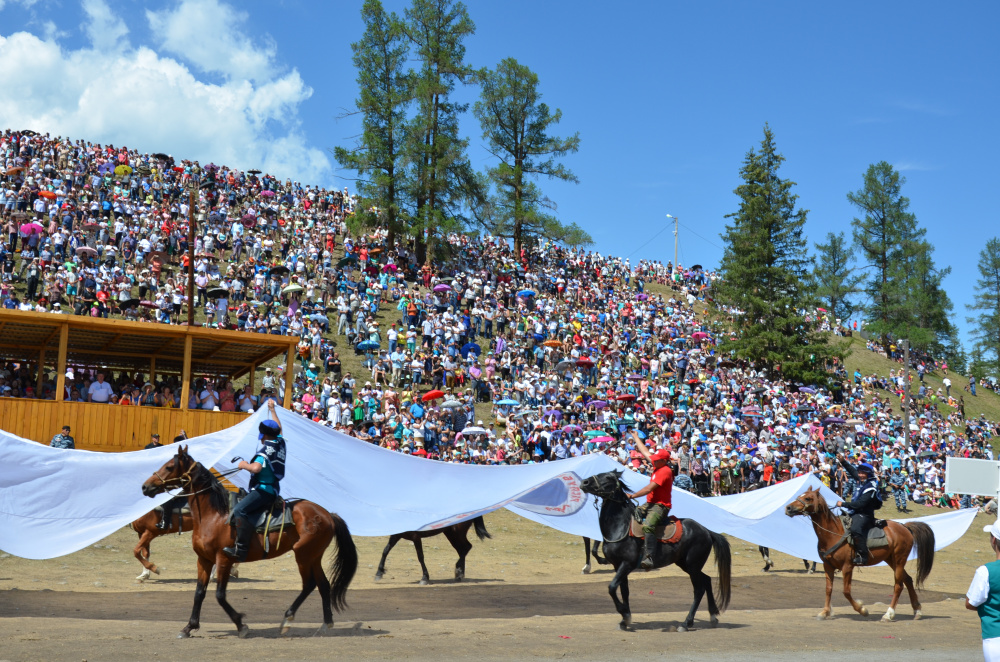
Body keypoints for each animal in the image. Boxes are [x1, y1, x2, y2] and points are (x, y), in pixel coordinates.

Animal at [141, 448, 360, 640]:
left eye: (169, 466)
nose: (145, 486)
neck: (214, 515)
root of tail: (328, 514)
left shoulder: (224, 559)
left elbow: (220, 595)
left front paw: (241, 625)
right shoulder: (203, 560)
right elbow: (198, 593)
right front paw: (189, 627)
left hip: (303, 556)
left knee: (309, 584)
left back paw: (287, 619)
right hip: (314, 556)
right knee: (323, 585)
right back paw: (326, 624)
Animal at [580, 472, 736, 632]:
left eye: (608, 477)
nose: (584, 482)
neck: (621, 528)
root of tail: (706, 531)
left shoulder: (626, 564)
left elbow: (611, 588)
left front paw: (624, 613)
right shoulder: (618, 566)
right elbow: (624, 590)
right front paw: (625, 619)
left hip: (693, 566)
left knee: (699, 589)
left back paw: (686, 623)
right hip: (687, 565)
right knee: (707, 580)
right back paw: (713, 616)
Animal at [784, 488, 932, 624]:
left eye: (808, 498)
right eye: (800, 495)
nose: (788, 508)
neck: (833, 533)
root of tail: (905, 527)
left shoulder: (847, 567)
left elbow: (846, 591)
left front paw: (862, 609)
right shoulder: (828, 566)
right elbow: (828, 589)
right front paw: (824, 612)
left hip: (900, 559)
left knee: (898, 585)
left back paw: (888, 614)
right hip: (891, 560)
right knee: (908, 580)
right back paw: (917, 611)